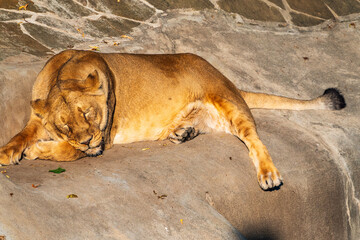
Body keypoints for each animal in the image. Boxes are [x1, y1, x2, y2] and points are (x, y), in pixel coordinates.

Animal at [0, 49, 344, 190]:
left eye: (88, 112)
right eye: (65, 125)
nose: (87, 138)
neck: (63, 74)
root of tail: (227, 78)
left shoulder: (103, 137)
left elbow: (70, 151)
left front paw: (37, 151)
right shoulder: (38, 117)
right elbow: (22, 134)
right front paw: (8, 151)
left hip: (230, 104)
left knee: (255, 141)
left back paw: (269, 175)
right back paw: (183, 133)